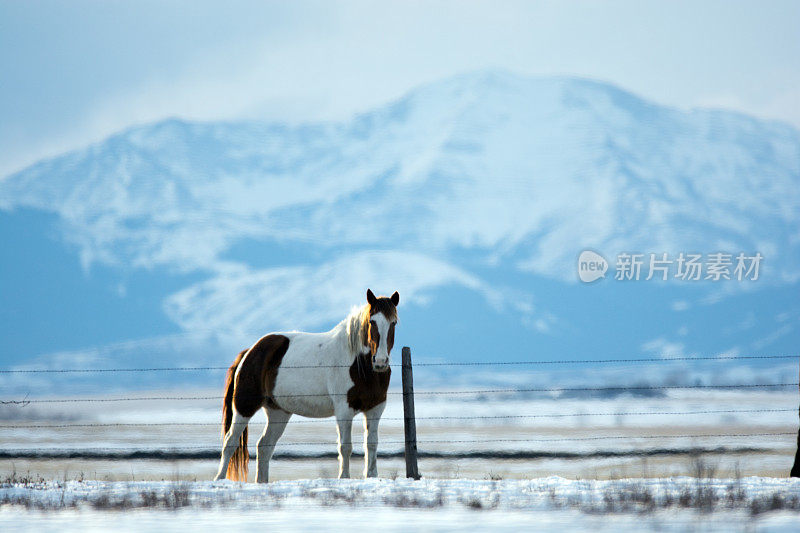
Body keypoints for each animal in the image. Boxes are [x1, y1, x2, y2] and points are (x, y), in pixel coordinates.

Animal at [214, 288, 398, 484]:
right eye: (372, 322)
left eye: (393, 322)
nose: (380, 362)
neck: (358, 363)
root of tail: (250, 351)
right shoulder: (344, 410)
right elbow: (345, 447)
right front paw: (344, 477)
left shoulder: (375, 409)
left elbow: (371, 444)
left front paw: (372, 476)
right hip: (244, 407)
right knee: (230, 441)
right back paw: (219, 479)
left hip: (278, 412)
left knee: (264, 446)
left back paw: (261, 481)